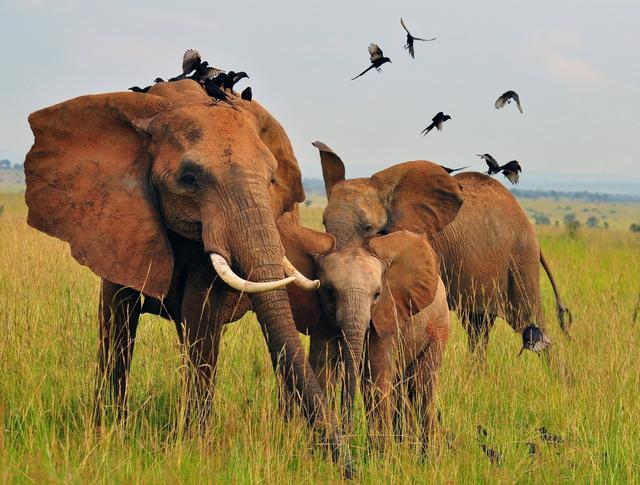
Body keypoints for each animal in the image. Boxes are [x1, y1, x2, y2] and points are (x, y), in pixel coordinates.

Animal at [22, 80, 350, 472]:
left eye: (271, 180)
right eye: (189, 179)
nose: (348, 468)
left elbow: (202, 312)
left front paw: (195, 449)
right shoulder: (115, 217)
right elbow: (116, 318)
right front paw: (106, 437)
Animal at [280, 221, 450, 448]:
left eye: (377, 294)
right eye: (329, 290)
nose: (347, 431)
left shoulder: (388, 315)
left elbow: (375, 378)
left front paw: (379, 455)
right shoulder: (323, 319)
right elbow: (323, 370)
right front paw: (320, 450)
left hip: (438, 328)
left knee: (423, 386)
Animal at [310, 140, 568, 356]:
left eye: (367, 228)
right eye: (324, 224)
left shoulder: (426, 246)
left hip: (520, 259)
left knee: (532, 322)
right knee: (478, 327)